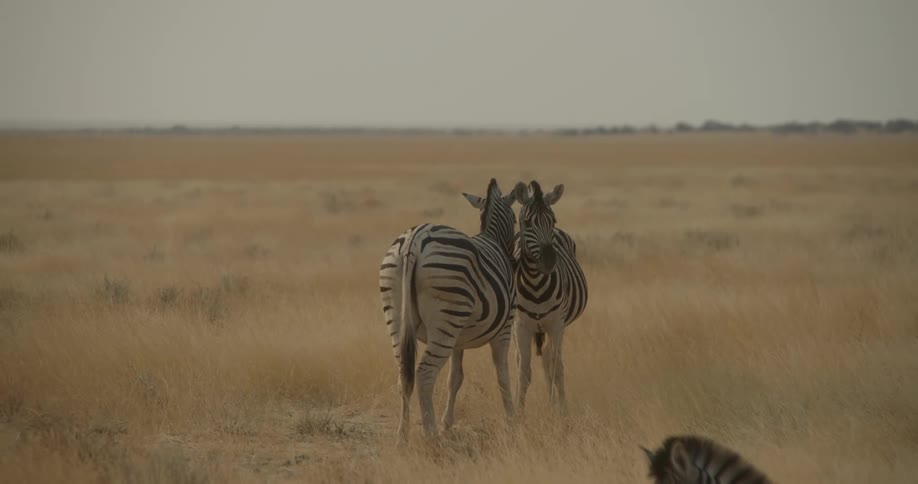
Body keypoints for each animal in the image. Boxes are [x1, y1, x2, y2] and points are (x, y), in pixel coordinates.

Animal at [379, 178, 518, 445]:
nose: (516, 261)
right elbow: (503, 375)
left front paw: (447, 423)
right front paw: (513, 420)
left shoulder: (458, 339)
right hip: (446, 317)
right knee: (424, 375)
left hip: (398, 315)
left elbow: (455, 378)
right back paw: (430, 436)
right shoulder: (504, 329)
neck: (493, 238)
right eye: (516, 220)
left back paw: (403, 436)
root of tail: (414, 240)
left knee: (404, 374)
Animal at [511, 180, 587, 413]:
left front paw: (562, 412)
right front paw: (518, 413)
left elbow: (556, 369)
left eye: (552, 221)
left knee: (549, 362)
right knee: (521, 361)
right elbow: (523, 372)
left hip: (552, 328)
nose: (549, 261)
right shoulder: (521, 325)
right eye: (526, 222)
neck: (535, 283)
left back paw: (553, 402)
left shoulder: (556, 324)